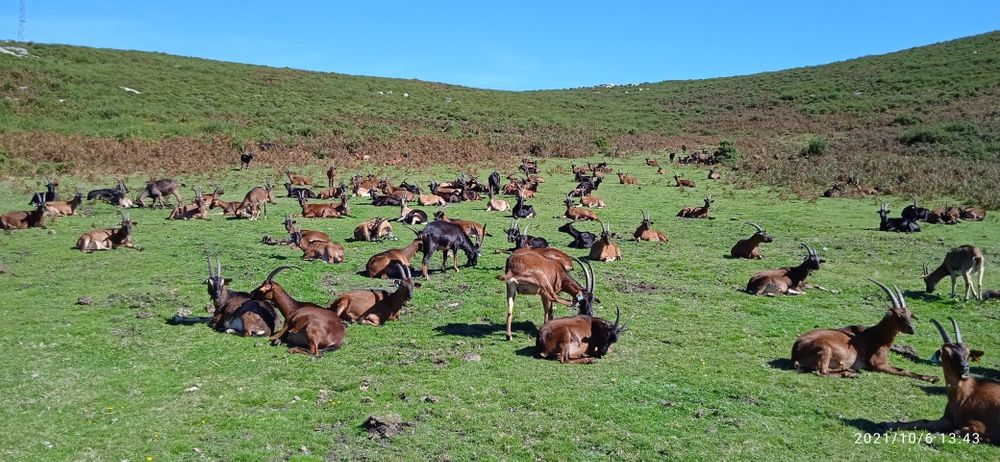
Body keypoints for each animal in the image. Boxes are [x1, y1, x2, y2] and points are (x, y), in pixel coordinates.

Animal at [791, 279, 937, 382]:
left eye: (909, 314)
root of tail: (796, 352)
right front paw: (932, 378)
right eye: (898, 315)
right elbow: (903, 370)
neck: (875, 335)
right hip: (825, 350)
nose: (912, 329)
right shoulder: (876, 364)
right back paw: (850, 373)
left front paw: (932, 377)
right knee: (821, 372)